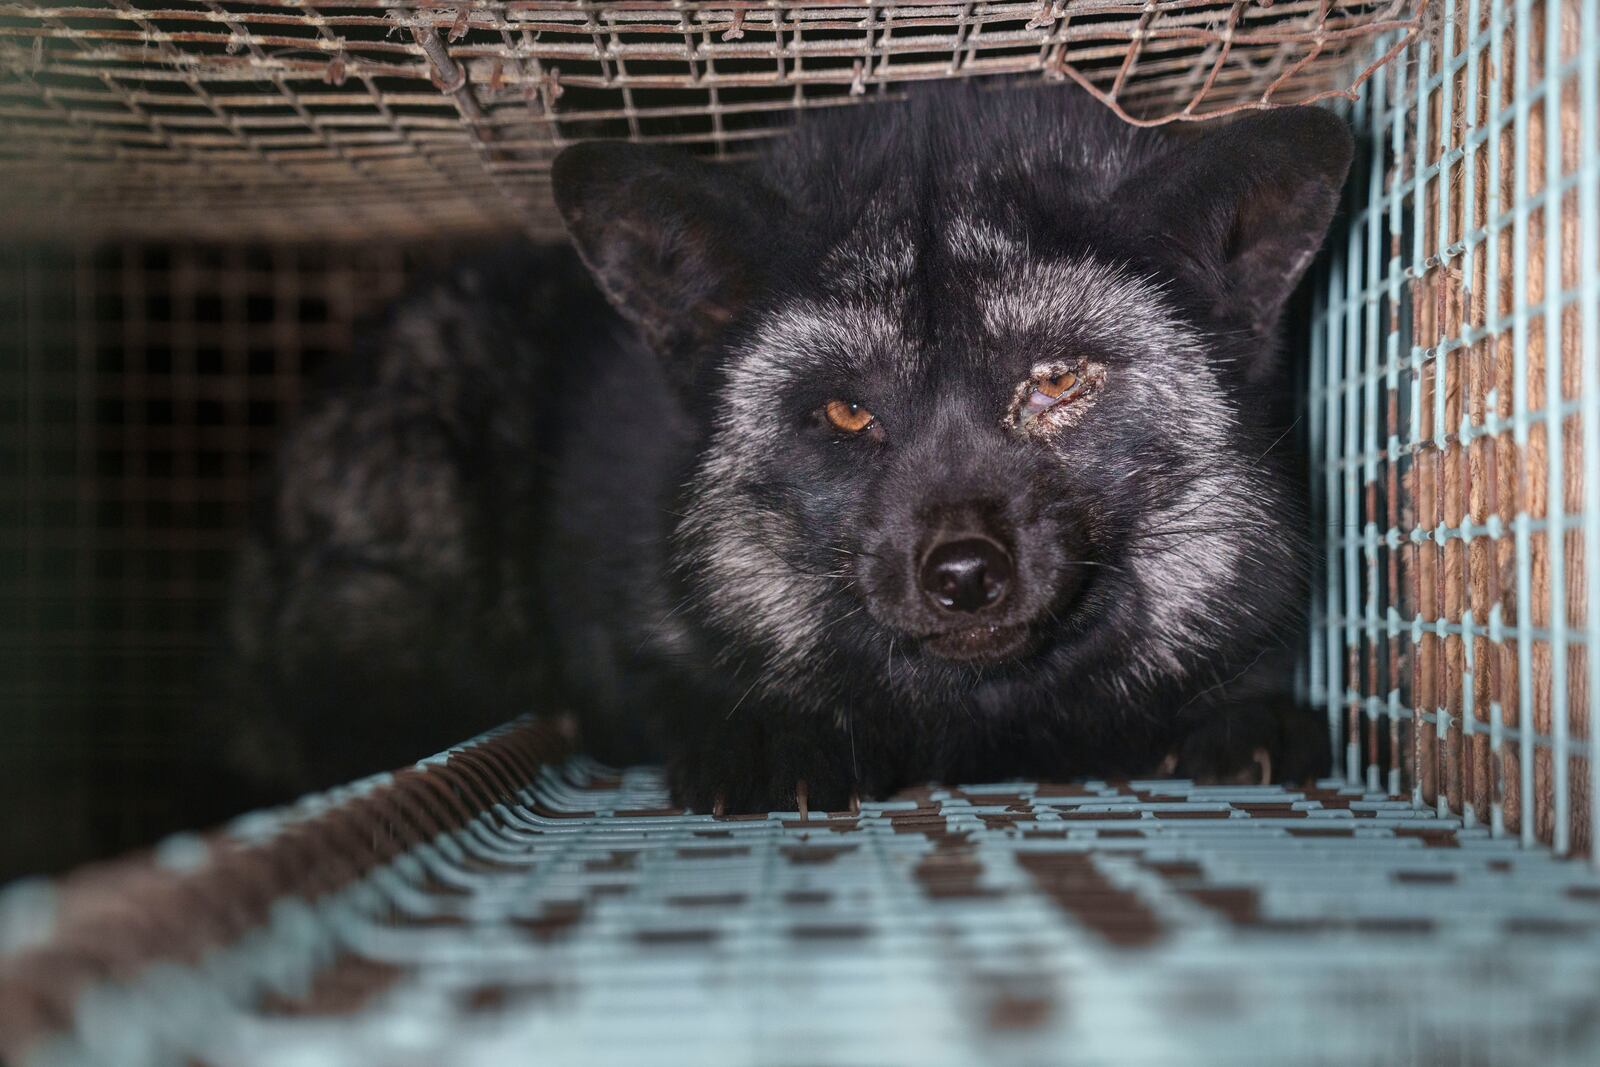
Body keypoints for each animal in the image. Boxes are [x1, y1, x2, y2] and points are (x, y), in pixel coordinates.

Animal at [225, 87, 1350, 812]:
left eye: (1056, 381)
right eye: (847, 413)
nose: (962, 573)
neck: (981, 727)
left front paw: (1241, 722)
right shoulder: (622, 624)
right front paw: (770, 733)